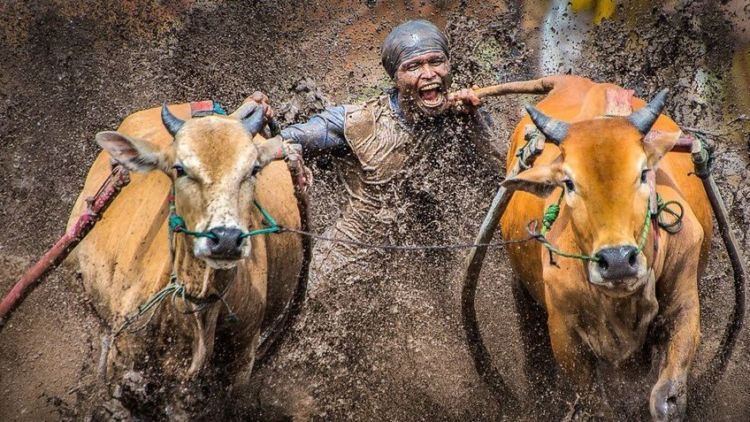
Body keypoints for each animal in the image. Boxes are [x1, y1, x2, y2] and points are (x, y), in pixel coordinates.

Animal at [502, 74, 712, 420]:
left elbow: (666, 397)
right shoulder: (563, 333)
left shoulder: (684, 303)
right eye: (569, 182)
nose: (617, 261)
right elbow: (597, 404)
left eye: (643, 172)